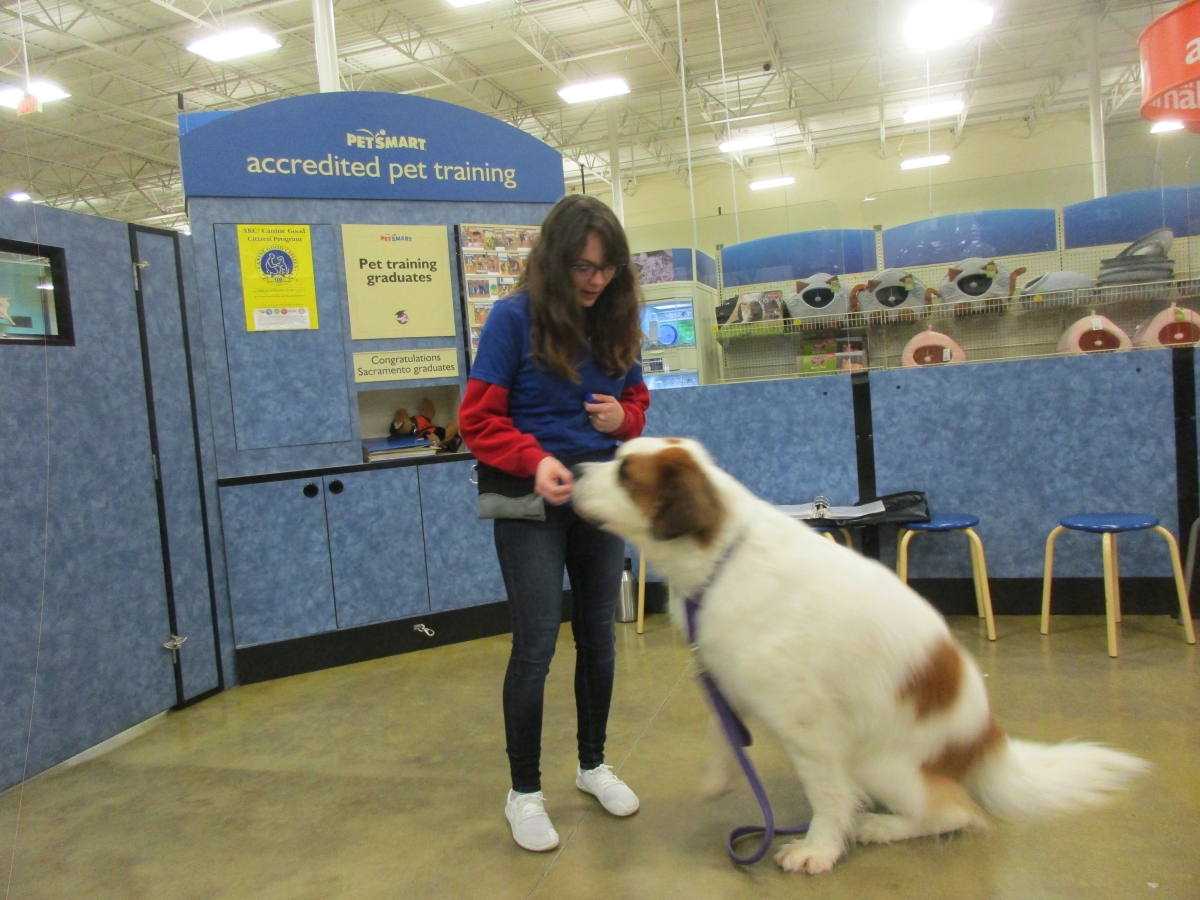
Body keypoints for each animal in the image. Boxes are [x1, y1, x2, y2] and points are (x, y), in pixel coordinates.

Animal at [573, 438, 1148, 874]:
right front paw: (719, 774)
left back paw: (880, 825)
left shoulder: (807, 723)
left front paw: (819, 849)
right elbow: (725, 729)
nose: (575, 469)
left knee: (952, 812)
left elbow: (826, 794)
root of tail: (987, 739)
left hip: (880, 762)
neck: (723, 554)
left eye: (625, 472)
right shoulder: (735, 676)